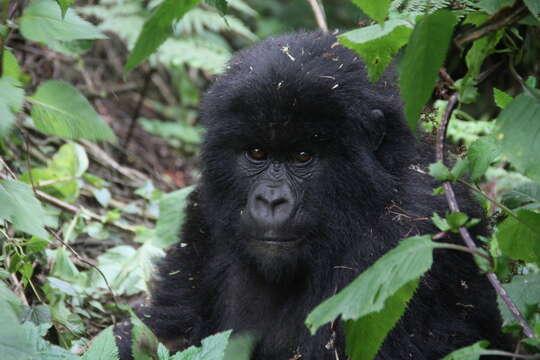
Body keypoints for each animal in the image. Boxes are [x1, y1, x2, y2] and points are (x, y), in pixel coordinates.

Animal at [116, 31, 508, 360]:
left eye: (302, 156)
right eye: (257, 153)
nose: (271, 201)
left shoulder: (413, 233)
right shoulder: (205, 209)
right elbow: (162, 332)